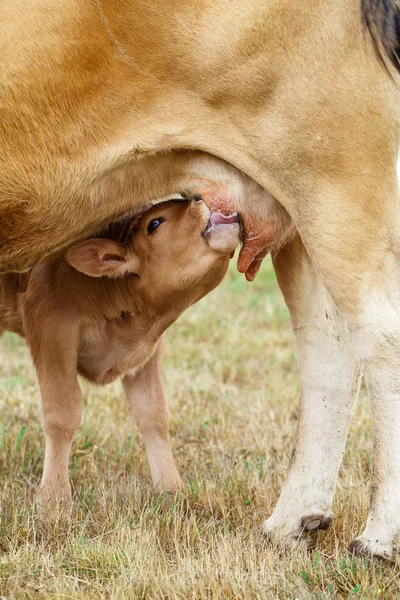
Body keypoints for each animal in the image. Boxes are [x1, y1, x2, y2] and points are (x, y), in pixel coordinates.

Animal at [0, 197, 239, 506]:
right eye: (154, 223)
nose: (198, 197)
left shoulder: (147, 349)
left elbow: (153, 413)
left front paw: (171, 489)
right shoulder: (51, 326)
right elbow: (62, 413)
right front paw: (54, 501)